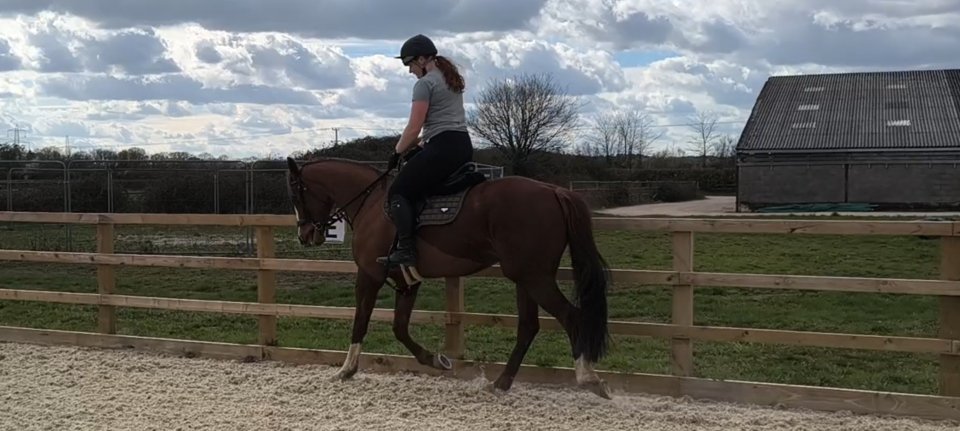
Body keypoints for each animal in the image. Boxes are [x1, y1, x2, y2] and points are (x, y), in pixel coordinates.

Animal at [285, 155, 613, 398]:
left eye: (297, 193)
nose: (305, 234)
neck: (373, 204)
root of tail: (553, 190)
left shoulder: (369, 276)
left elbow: (361, 320)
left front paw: (347, 369)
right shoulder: (407, 282)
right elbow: (399, 328)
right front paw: (437, 360)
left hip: (535, 278)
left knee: (571, 317)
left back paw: (588, 379)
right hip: (526, 278)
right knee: (529, 326)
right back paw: (501, 383)